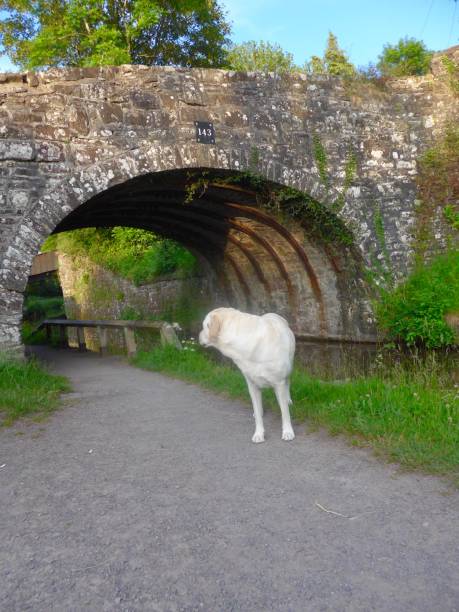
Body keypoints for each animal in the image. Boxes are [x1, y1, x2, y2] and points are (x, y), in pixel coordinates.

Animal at [199, 308, 296, 442]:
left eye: (204, 326)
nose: (198, 337)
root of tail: (274, 314)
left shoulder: (279, 384)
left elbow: (285, 413)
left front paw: (287, 431)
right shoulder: (252, 386)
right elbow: (258, 414)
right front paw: (258, 434)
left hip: (289, 367)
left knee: (288, 382)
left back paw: (288, 400)